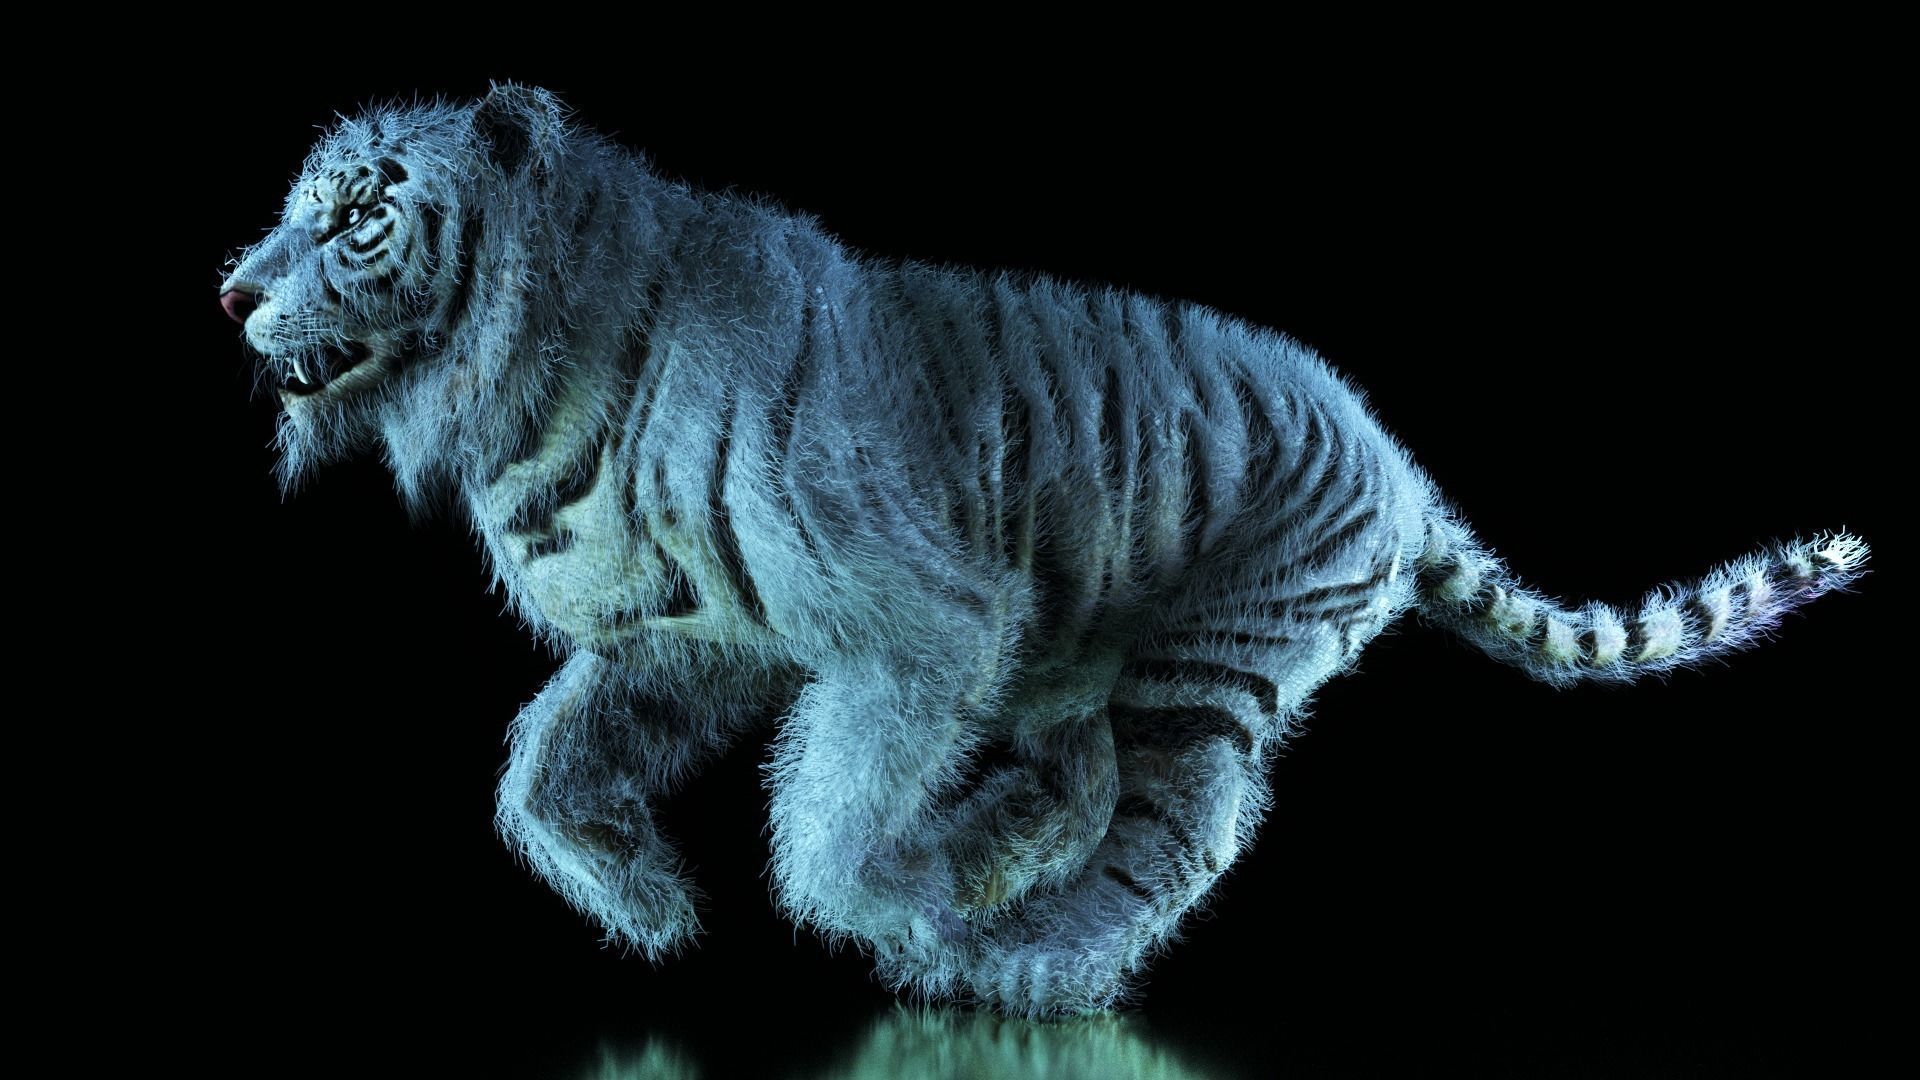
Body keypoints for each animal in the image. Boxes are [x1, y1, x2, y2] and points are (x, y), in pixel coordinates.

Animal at [219, 83, 1870, 1018]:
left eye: (358, 216)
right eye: (295, 207)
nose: (231, 291)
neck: (529, 374)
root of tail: (1399, 465)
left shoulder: (918, 628)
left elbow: (824, 815)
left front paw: (875, 908)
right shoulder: (692, 636)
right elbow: (548, 759)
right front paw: (648, 907)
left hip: (1210, 664)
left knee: (1181, 827)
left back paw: (1032, 960)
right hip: (1085, 668)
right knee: (1071, 788)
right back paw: (979, 882)